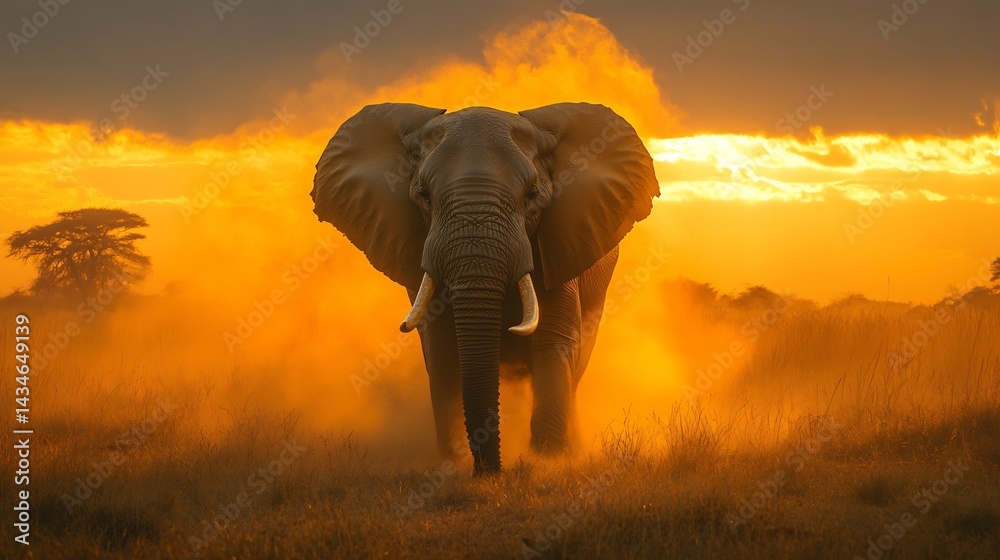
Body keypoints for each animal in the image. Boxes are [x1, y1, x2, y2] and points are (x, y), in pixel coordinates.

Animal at [311, 102, 659, 475]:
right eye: (424, 197)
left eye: (533, 196)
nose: (488, 472)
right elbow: (442, 349)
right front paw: (453, 461)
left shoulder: (559, 245)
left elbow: (553, 341)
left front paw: (548, 461)